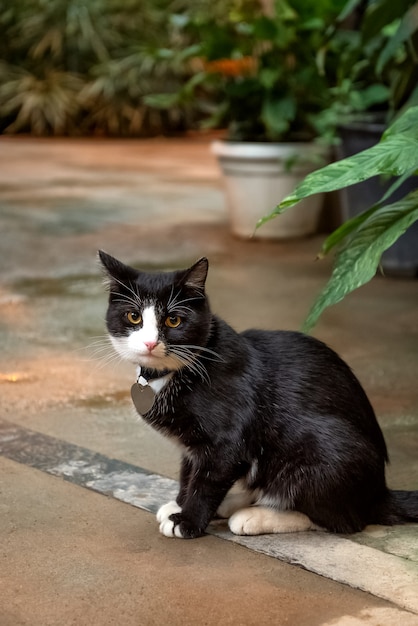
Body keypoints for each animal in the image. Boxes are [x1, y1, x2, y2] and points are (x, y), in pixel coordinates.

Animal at [99, 249, 418, 536]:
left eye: (173, 320)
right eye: (133, 317)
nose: (150, 343)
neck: (171, 374)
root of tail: (379, 492)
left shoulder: (227, 437)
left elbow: (210, 478)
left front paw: (188, 521)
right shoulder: (191, 446)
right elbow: (189, 471)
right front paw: (179, 505)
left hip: (323, 449)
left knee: (344, 521)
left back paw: (259, 515)